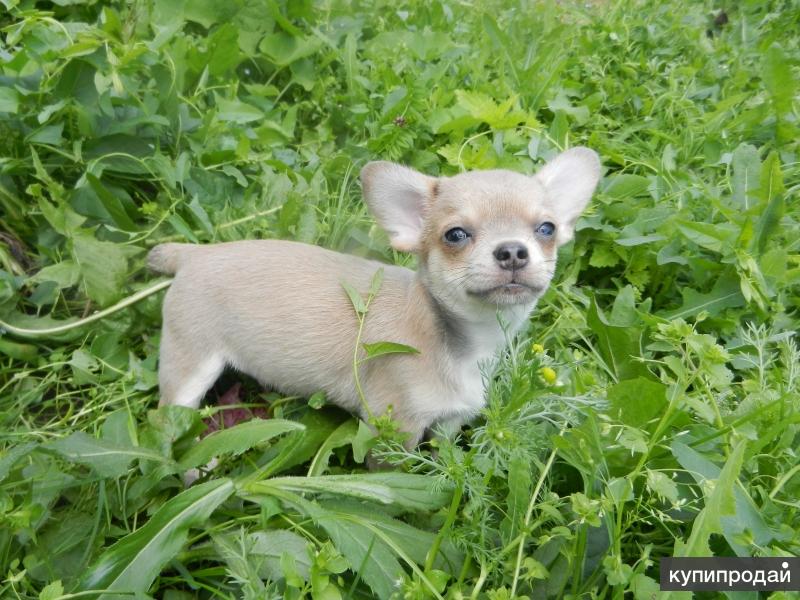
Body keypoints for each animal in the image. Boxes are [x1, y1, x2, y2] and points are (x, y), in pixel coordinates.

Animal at [150, 148, 600, 448]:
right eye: (455, 235)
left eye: (546, 229)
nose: (512, 251)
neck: (466, 344)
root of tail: (193, 254)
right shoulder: (395, 429)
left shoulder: (448, 422)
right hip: (189, 366)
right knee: (169, 420)